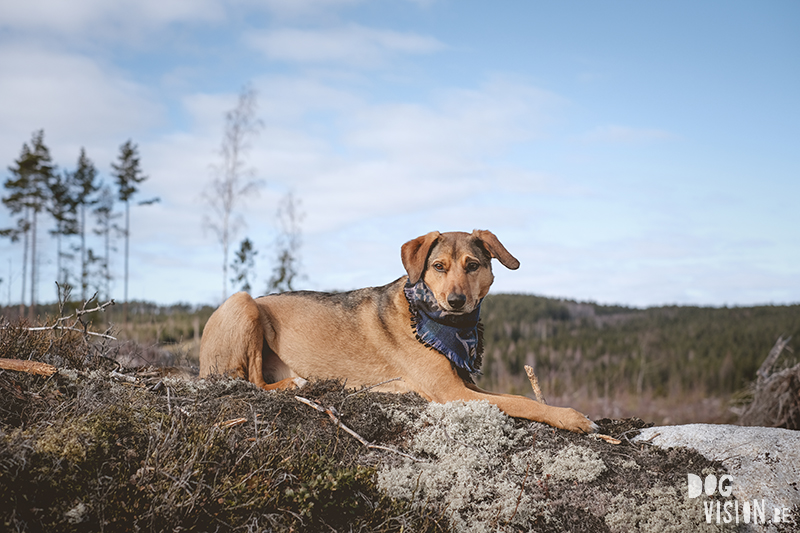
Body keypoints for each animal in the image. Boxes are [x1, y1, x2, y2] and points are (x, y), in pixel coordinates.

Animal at [199, 229, 596, 432]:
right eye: (438, 266)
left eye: (472, 266)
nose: (456, 301)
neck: (441, 324)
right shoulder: (451, 392)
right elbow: (521, 402)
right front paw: (573, 417)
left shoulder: (465, 384)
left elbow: (515, 396)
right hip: (244, 302)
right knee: (251, 379)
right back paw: (296, 383)